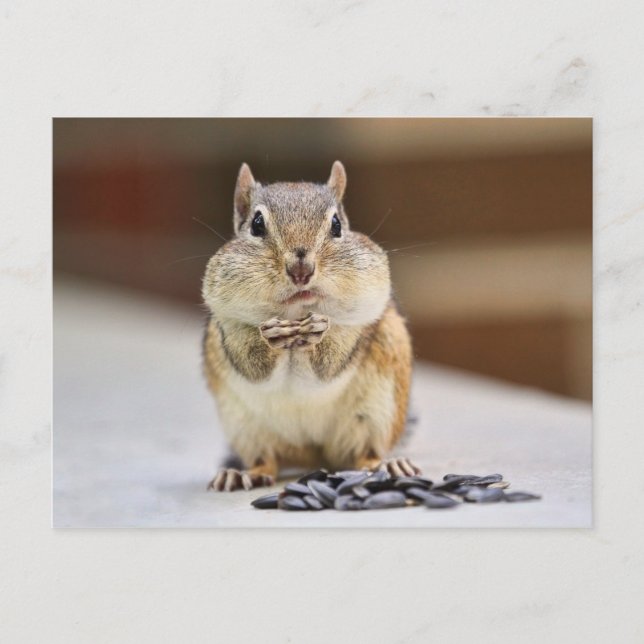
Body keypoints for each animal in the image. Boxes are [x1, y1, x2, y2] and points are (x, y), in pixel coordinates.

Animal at [202, 161, 417, 491]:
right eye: (256, 225)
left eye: (337, 225)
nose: (301, 269)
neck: (296, 314)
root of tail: (312, 454)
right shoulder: (227, 326)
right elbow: (252, 364)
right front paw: (271, 336)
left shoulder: (362, 320)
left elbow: (331, 362)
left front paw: (318, 333)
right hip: (245, 427)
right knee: (267, 460)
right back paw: (241, 474)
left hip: (378, 412)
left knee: (365, 453)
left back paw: (386, 465)